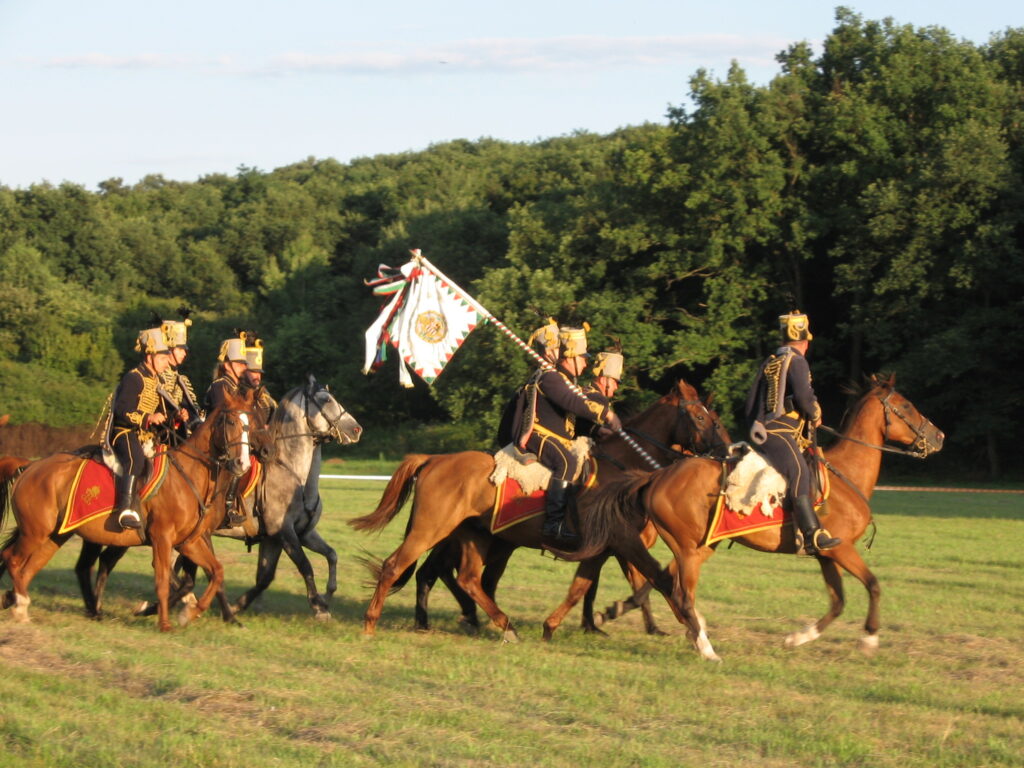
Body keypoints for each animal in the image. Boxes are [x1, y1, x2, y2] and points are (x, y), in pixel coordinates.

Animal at [0, 391, 256, 630]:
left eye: (250, 425)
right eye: (231, 422)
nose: (242, 464)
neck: (188, 475)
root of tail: (32, 466)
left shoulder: (189, 542)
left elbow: (216, 572)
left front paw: (190, 613)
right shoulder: (162, 538)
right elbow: (163, 580)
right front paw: (164, 623)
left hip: (55, 536)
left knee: (29, 569)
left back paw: (23, 604)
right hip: (35, 533)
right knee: (13, 559)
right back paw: (22, 605)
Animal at [352, 382, 729, 638]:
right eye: (699, 416)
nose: (724, 451)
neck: (621, 468)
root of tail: (434, 459)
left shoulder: (603, 550)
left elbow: (588, 588)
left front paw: (565, 625)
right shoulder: (624, 543)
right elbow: (658, 579)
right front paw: (694, 629)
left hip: (476, 537)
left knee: (468, 579)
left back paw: (498, 624)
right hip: (431, 530)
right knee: (398, 567)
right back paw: (372, 624)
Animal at [593, 374, 942, 663]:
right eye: (906, 406)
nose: (939, 436)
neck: (846, 474)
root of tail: (658, 477)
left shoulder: (825, 554)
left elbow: (838, 601)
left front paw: (798, 637)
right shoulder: (842, 549)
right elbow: (873, 585)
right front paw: (869, 638)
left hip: (701, 546)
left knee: (664, 581)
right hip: (689, 549)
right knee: (680, 593)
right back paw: (705, 647)